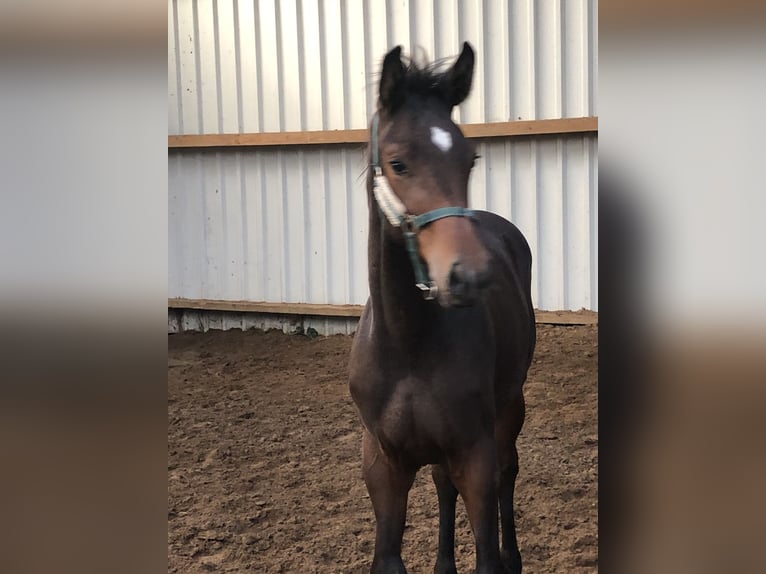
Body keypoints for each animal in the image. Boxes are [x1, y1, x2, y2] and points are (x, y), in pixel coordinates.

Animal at [352, 44, 536, 574]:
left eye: (468, 159)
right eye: (398, 163)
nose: (468, 275)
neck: (407, 345)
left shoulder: (474, 453)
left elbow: (487, 550)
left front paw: (500, 557)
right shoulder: (384, 465)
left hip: (509, 407)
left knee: (508, 470)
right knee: (441, 484)